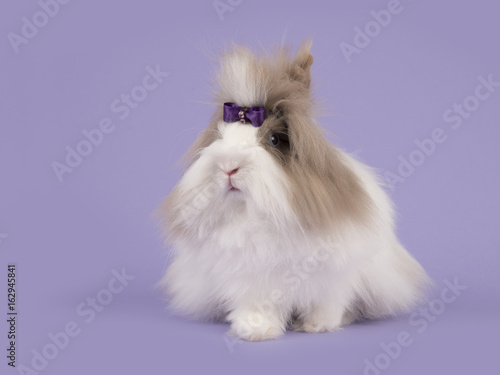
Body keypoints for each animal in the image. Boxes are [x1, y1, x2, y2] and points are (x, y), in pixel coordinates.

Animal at [156, 39, 430, 342]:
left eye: (274, 140)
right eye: (219, 137)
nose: (228, 167)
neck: (258, 218)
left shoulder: (333, 276)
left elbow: (327, 303)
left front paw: (317, 326)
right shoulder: (251, 279)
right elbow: (257, 305)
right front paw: (255, 331)